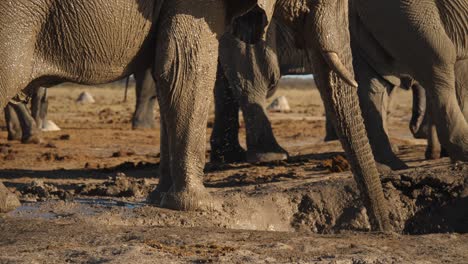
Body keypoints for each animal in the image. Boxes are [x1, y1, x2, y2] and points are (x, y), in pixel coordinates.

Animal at [0, 0, 392, 231]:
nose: (382, 228)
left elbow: (168, 74)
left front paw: (160, 199)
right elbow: (186, 65)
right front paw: (202, 205)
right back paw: (8, 203)